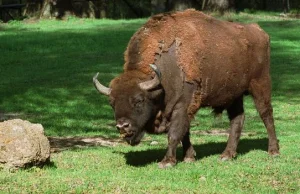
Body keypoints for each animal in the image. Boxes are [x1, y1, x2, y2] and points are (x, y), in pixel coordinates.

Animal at [93, 9, 278, 167]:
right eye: (111, 103)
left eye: (139, 100)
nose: (122, 126)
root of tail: (259, 31)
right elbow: (185, 133)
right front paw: (189, 157)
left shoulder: (182, 106)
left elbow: (174, 133)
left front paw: (167, 162)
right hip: (234, 95)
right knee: (237, 119)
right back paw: (227, 155)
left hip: (260, 84)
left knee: (266, 114)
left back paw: (273, 151)